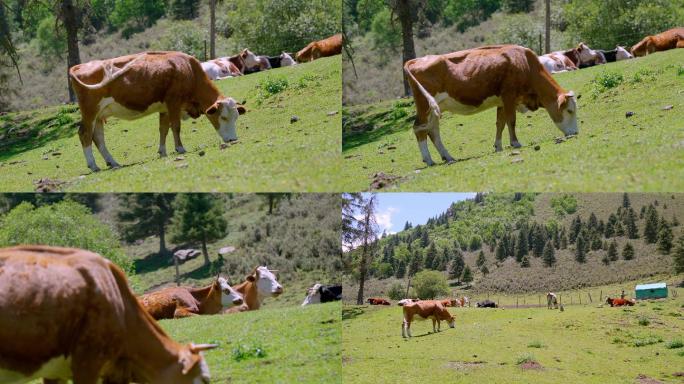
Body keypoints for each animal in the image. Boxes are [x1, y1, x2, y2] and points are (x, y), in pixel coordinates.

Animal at [69, 50, 246, 171]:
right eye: (223, 117)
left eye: (236, 117)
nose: (233, 139)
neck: (188, 69)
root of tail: (78, 66)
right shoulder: (174, 102)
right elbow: (176, 127)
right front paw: (180, 148)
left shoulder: (164, 107)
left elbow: (163, 129)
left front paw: (162, 151)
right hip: (90, 111)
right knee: (84, 134)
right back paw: (93, 165)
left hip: (99, 115)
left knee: (98, 138)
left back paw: (113, 162)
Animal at [404, 44, 580, 165]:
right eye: (570, 110)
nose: (576, 133)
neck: (525, 63)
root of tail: (414, 60)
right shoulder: (509, 95)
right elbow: (511, 121)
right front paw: (515, 143)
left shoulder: (501, 101)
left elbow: (500, 123)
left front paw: (498, 146)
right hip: (424, 106)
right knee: (419, 128)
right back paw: (429, 160)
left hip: (435, 109)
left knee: (433, 130)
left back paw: (448, 157)